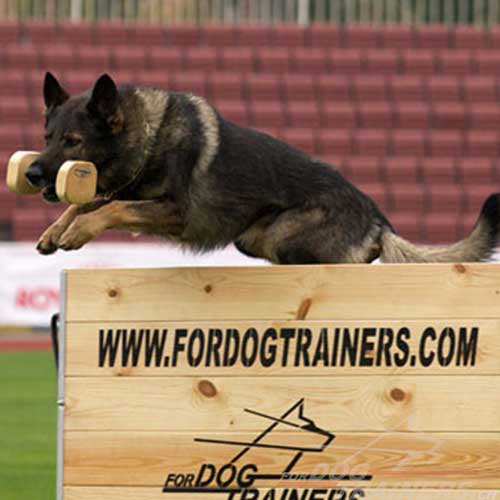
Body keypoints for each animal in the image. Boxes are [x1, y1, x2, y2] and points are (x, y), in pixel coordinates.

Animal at [28, 72, 500, 264]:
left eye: (73, 142)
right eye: (48, 137)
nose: (32, 173)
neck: (149, 134)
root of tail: (380, 221)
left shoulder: (173, 211)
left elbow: (108, 208)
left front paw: (76, 232)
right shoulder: (127, 191)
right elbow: (86, 204)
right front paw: (56, 230)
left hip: (285, 238)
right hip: (253, 239)